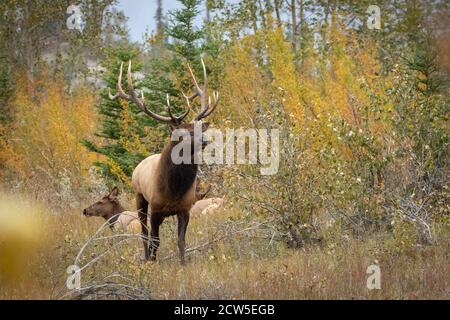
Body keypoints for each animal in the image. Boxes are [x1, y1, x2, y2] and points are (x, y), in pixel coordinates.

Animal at [110, 58, 220, 264]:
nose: (204, 140)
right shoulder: (155, 209)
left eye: (198, 128)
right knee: (144, 234)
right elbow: (155, 240)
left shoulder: (185, 208)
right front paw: (152, 263)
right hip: (139, 197)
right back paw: (146, 257)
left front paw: (183, 265)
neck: (173, 189)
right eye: (181, 133)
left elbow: (181, 241)